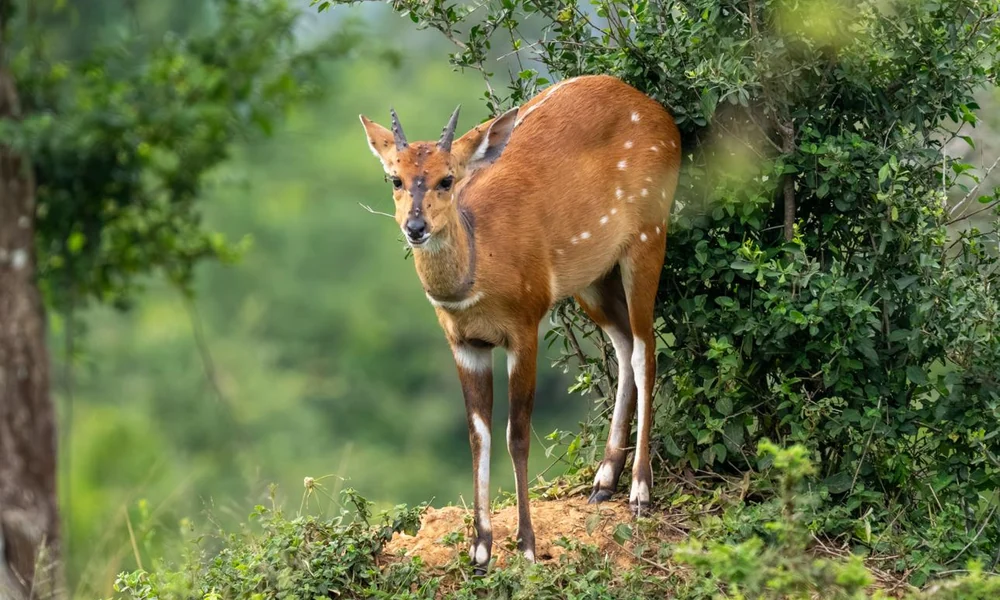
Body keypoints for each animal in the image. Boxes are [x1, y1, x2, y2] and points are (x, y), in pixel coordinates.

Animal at [359, 74, 681, 572]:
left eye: (447, 179)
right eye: (395, 178)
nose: (415, 227)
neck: (478, 272)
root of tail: (664, 118)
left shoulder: (525, 326)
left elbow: (518, 433)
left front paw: (527, 545)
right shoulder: (464, 343)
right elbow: (478, 435)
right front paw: (480, 550)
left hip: (648, 234)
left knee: (647, 349)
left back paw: (639, 491)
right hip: (590, 277)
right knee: (626, 345)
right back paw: (604, 480)